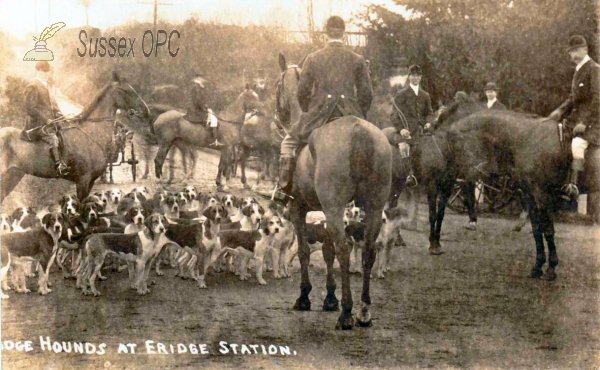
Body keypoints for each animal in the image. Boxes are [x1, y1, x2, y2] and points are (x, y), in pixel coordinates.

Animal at [1, 72, 147, 202]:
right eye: (124, 90)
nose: (144, 110)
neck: (90, 133)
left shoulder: (90, 181)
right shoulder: (83, 180)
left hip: (14, 175)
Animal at [274, 53, 392, 328]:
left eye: (277, 86)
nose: (279, 116)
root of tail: (359, 131)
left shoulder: (298, 208)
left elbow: (306, 251)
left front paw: (305, 297)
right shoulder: (325, 211)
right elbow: (327, 251)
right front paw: (330, 298)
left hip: (336, 206)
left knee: (344, 251)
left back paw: (347, 313)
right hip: (373, 205)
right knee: (367, 250)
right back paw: (364, 311)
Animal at [442, 105, 596, 278]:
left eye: (456, 145)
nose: (458, 180)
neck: (527, 140)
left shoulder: (542, 196)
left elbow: (548, 230)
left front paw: (551, 269)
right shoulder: (531, 196)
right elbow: (537, 230)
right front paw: (537, 267)